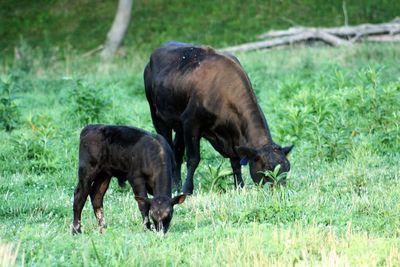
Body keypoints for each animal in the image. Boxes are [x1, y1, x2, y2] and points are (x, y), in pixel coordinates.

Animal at [145, 43, 294, 196]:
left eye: (287, 169)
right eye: (266, 170)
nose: (281, 192)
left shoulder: (233, 134)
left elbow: (236, 162)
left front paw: (240, 186)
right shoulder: (191, 122)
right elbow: (193, 159)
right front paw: (187, 190)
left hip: (179, 124)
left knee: (177, 151)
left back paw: (176, 186)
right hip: (157, 116)